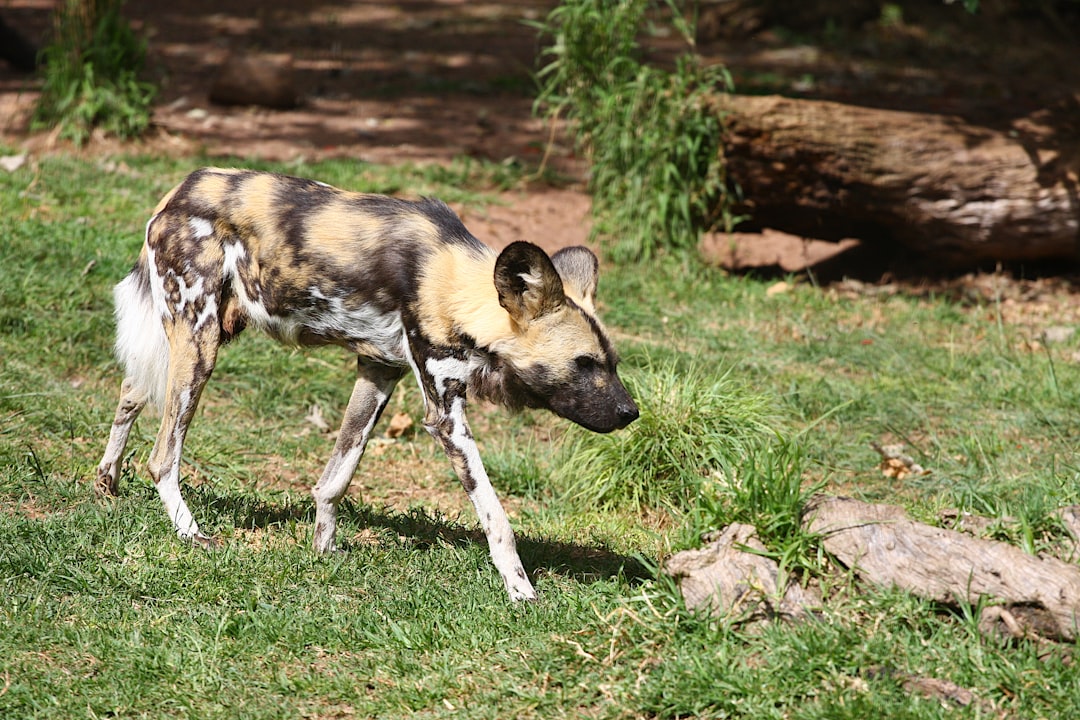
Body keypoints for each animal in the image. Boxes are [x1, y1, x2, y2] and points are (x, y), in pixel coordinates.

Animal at [97, 169, 635, 604]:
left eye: (611, 363)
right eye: (583, 363)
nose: (631, 414)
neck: (455, 287)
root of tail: (180, 190)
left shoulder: (378, 371)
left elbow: (335, 478)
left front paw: (323, 550)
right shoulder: (445, 416)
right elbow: (496, 518)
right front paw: (521, 592)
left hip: (194, 340)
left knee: (130, 392)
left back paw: (107, 484)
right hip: (200, 346)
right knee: (163, 455)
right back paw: (192, 535)